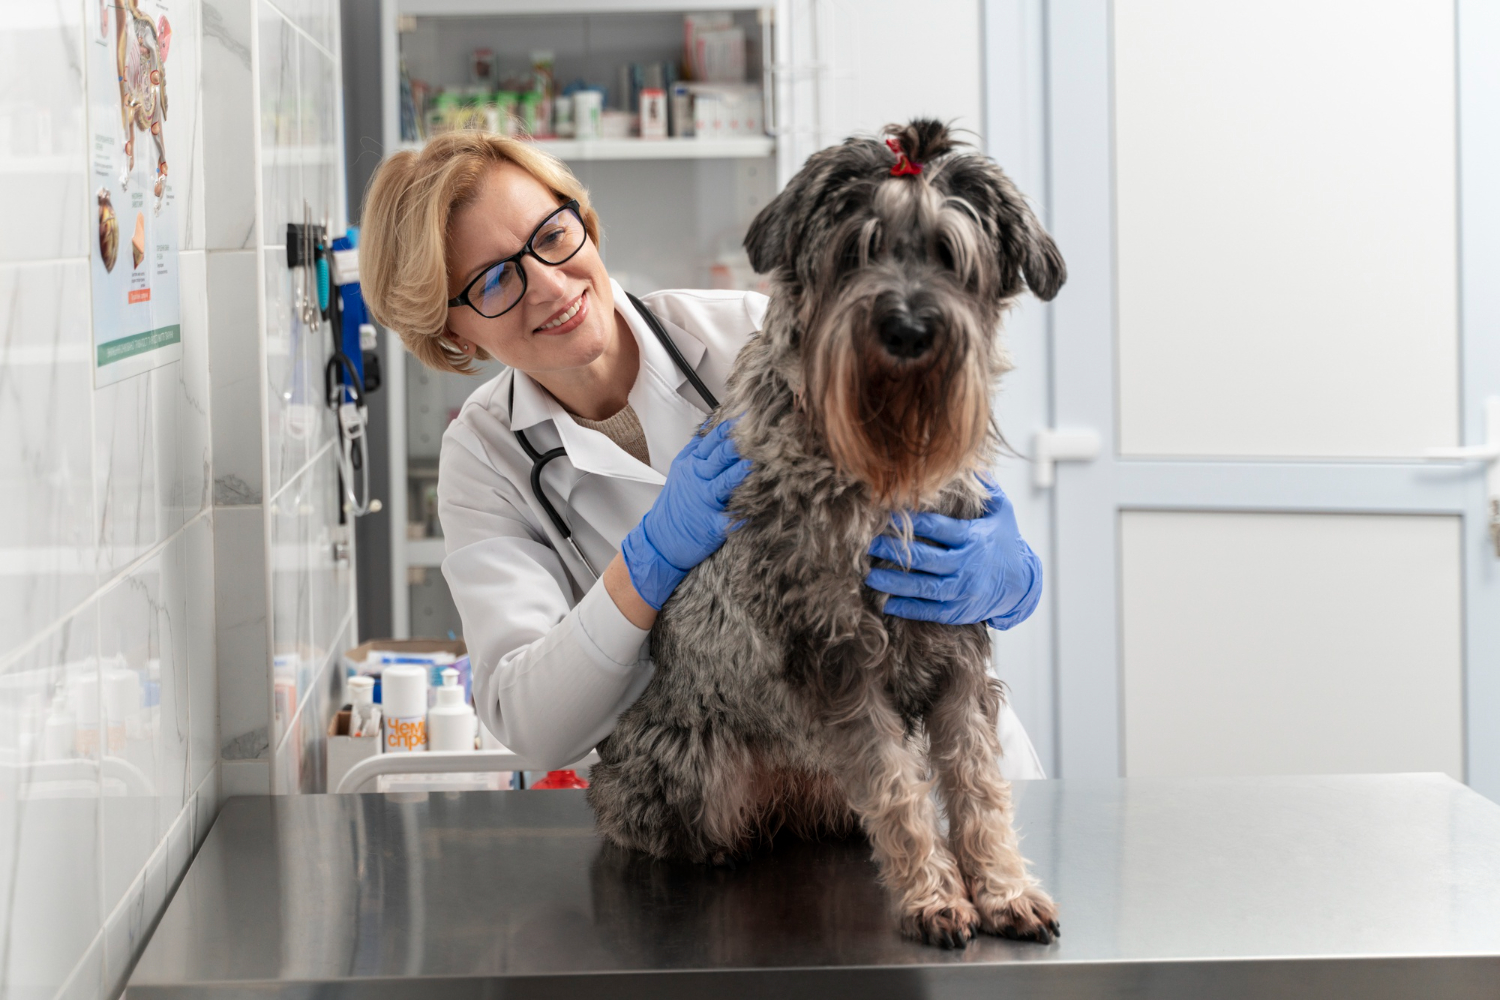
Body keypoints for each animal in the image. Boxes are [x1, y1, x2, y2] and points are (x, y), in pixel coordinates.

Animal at [585, 117, 1068, 947]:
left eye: (949, 255)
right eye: (855, 249)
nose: (907, 327)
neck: (883, 463)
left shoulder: (957, 647)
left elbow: (978, 787)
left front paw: (1005, 890)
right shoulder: (837, 658)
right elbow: (898, 791)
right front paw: (934, 897)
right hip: (693, 773)